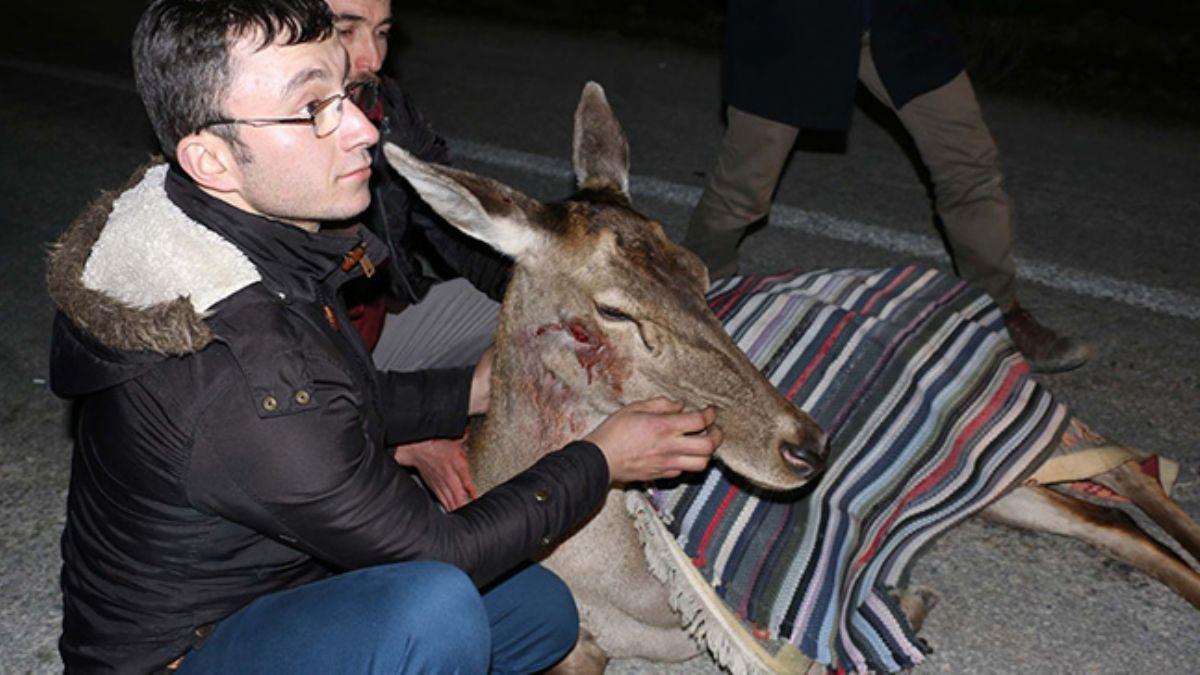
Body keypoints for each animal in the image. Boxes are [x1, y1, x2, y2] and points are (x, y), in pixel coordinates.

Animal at [386, 82, 1200, 667]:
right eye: (612, 309)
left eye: (700, 271)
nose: (807, 444)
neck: (618, 589)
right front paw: (911, 602)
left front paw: (909, 605)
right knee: (1107, 512)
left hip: (1015, 423)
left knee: (1126, 470)